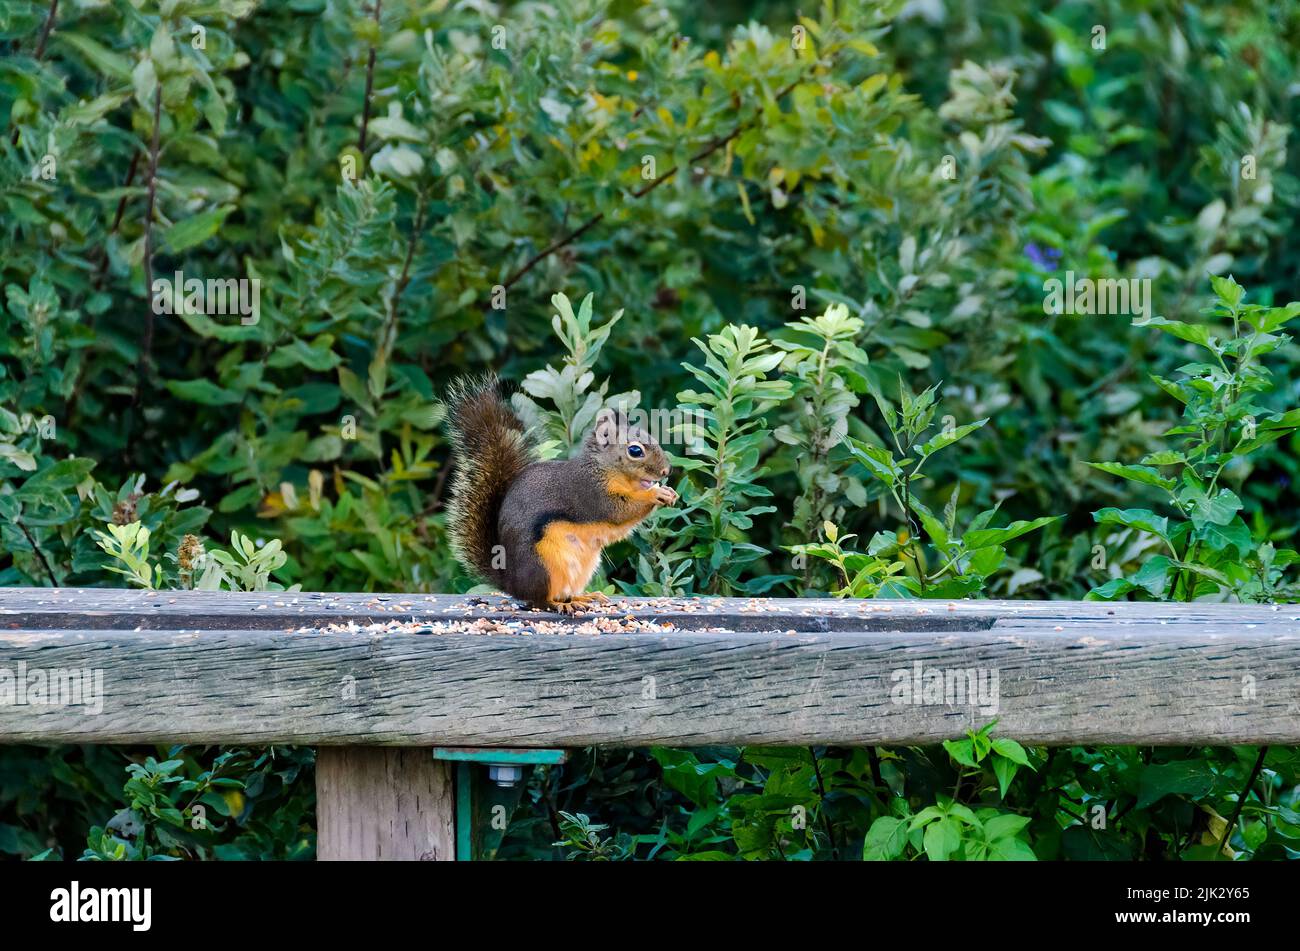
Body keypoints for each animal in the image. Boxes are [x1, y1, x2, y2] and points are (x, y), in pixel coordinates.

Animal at [444, 374, 677, 614]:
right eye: (635, 451)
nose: (666, 471)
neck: (603, 469)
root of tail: (511, 583)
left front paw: (668, 492)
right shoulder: (590, 493)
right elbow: (619, 511)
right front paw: (655, 495)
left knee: (564, 592)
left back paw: (583, 597)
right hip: (544, 565)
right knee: (539, 600)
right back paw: (560, 604)